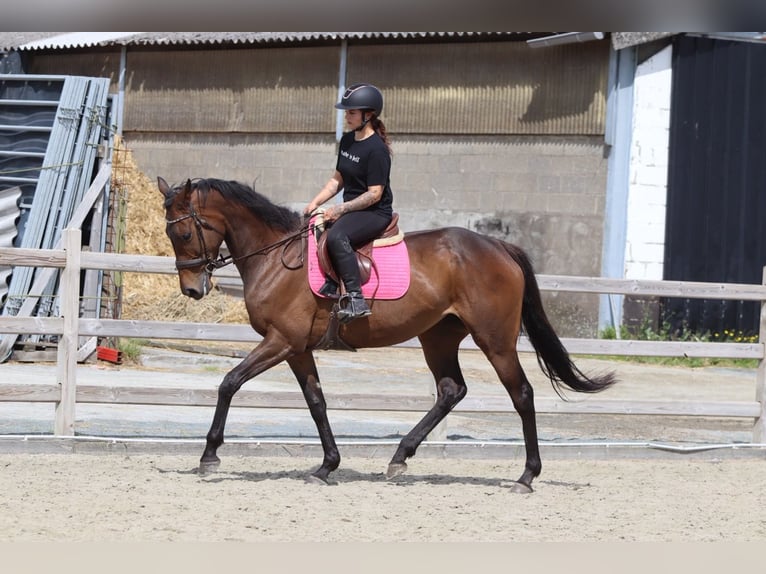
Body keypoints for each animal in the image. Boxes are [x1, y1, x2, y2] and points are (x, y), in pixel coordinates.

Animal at [157, 176, 616, 493]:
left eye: (183, 232)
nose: (192, 290)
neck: (276, 257)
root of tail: (498, 246)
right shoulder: (297, 348)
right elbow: (316, 403)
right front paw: (327, 465)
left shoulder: (280, 341)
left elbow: (229, 382)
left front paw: (210, 454)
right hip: (438, 337)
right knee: (451, 390)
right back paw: (400, 457)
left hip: (495, 340)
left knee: (521, 394)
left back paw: (526, 475)